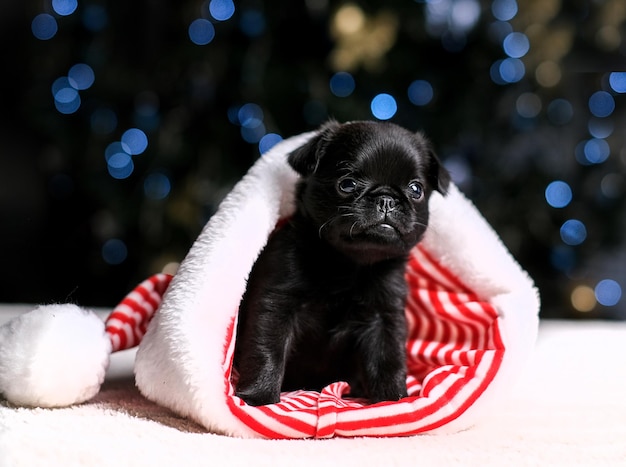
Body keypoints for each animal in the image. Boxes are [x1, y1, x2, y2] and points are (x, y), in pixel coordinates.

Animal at [232, 119, 446, 406]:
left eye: (416, 190)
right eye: (347, 184)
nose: (386, 199)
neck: (347, 264)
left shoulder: (384, 317)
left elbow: (387, 359)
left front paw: (393, 400)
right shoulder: (277, 303)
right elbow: (267, 349)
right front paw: (259, 396)